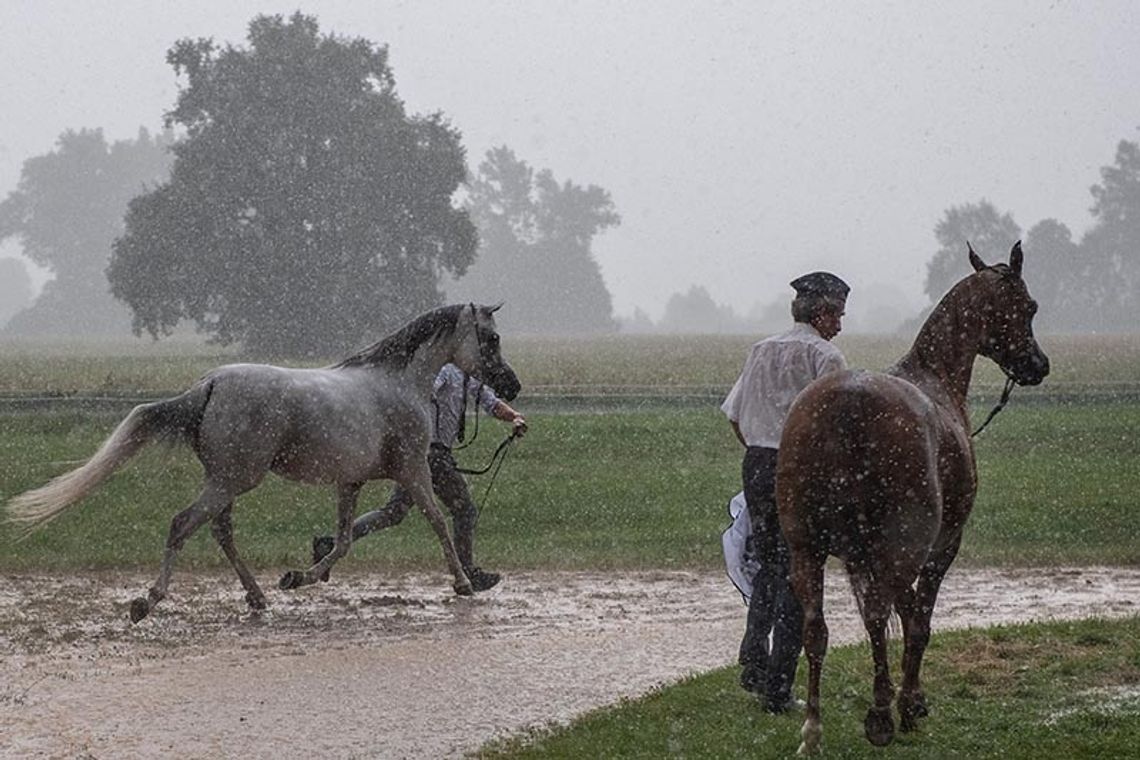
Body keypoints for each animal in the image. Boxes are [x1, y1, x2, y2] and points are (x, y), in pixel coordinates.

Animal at [775, 243, 1048, 756]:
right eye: (1029, 306)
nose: (1038, 365)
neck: (934, 377)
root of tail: (849, 401)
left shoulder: (859, 557)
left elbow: (883, 618)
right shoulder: (940, 547)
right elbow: (918, 620)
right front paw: (910, 703)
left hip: (807, 552)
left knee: (816, 630)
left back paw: (813, 731)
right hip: (898, 550)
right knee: (894, 615)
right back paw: (884, 714)